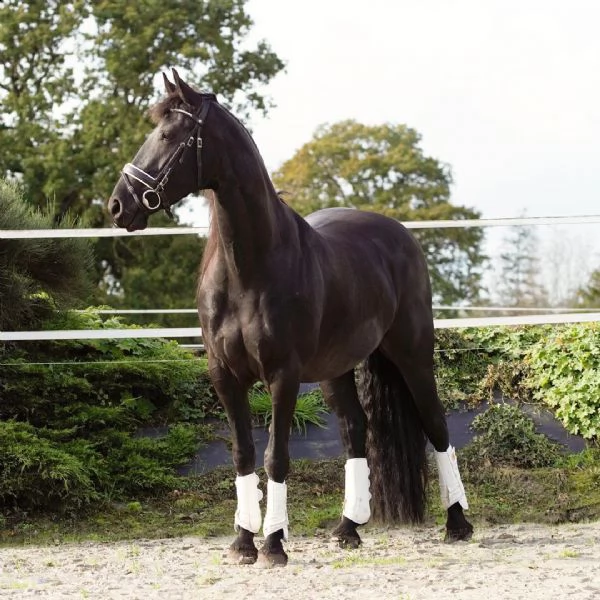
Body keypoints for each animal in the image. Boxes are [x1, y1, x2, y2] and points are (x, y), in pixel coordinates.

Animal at [108, 70, 474, 568]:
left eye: (168, 135)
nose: (119, 205)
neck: (250, 267)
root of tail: (400, 235)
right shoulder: (225, 376)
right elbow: (243, 455)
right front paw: (243, 541)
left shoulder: (282, 375)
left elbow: (275, 458)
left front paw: (274, 544)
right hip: (337, 370)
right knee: (355, 431)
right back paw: (348, 529)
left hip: (413, 355)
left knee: (435, 425)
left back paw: (458, 523)